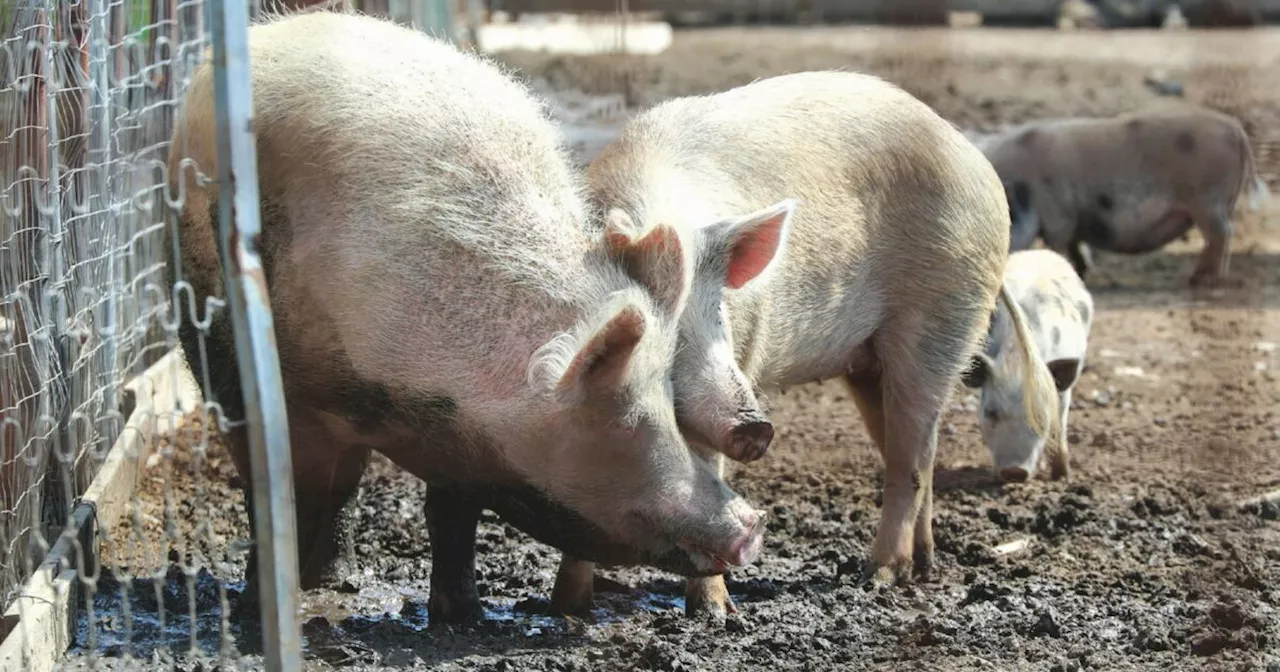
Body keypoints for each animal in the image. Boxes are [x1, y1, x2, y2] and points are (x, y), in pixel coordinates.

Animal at [540, 70, 1059, 616]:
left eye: (719, 311)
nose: (755, 425)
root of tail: (978, 163)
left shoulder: (744, 352)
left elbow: (709, 472)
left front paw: (713, 614)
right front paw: (565, 608)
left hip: (942, 318)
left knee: (909, 460)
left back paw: (878, 577)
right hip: (868, 363)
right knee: (920, 451)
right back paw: (923, 566)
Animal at [962, 248, 1095, 478]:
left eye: (1040, 418)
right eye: (990, 412)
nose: (1014, 470)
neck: (1016, 361)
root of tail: (1040, 251)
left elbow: (1059, 423)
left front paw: (1062, 475)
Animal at [977, 103, 1269, 286]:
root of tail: (1235, 130)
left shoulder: (1058, 216)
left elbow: (1058, 245)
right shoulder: (1072, 220)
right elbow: (1077, 247)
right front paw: (1081, 272)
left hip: (1208, 200)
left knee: (1221, 235)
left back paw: (1203, 280)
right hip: (1218, 203)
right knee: (1220, 236)